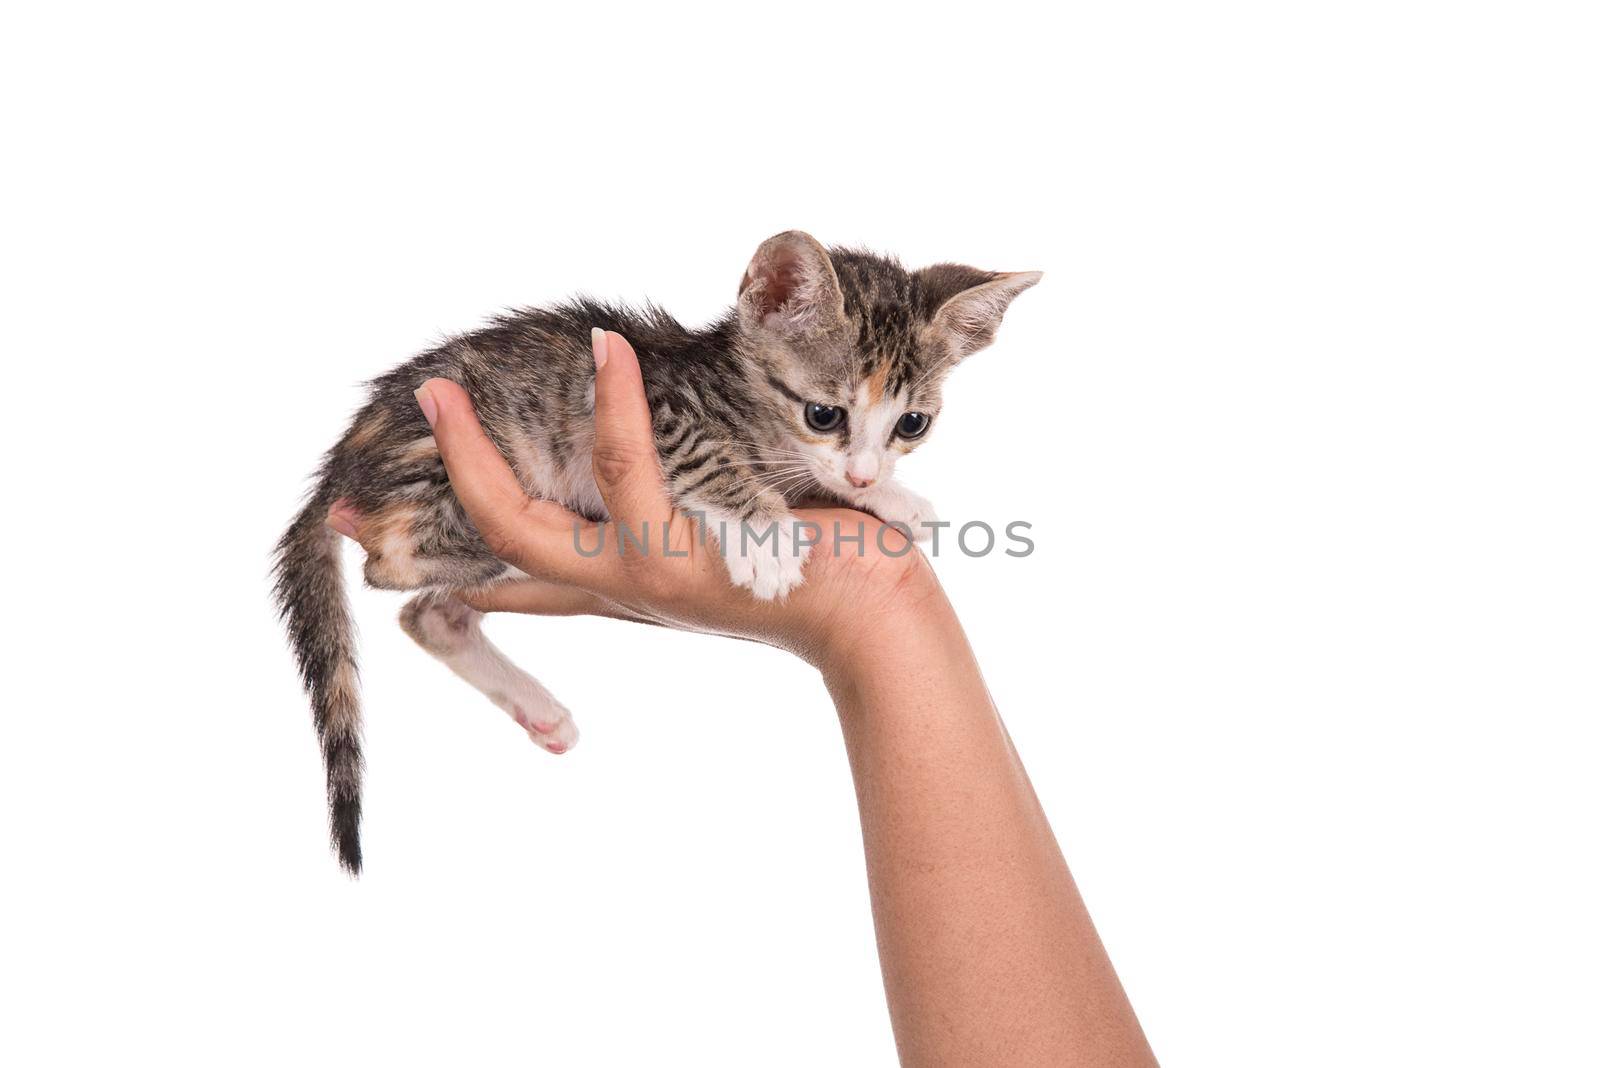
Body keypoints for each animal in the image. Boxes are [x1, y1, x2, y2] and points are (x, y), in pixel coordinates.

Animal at [275, 230, 1036, 869]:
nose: (864, 475)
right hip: (437, 461)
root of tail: (338, 468)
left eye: (913, 423)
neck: (742, 397)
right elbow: (711, 457)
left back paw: (535, 705)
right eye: (824, 414)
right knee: (388, 566)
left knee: (426, 615)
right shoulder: (652, 400)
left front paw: (890, 497)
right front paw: (763, 531)